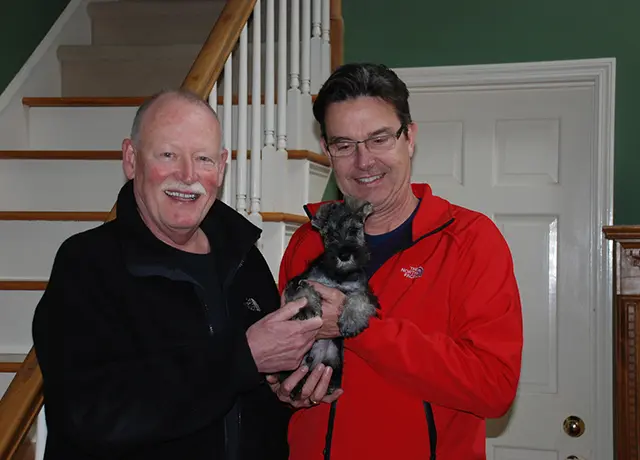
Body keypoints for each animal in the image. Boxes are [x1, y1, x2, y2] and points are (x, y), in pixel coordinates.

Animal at [278, 196, 378, 398]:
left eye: (354, 230)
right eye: (330, 235)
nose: (344, 255)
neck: (339, 275)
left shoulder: (364, 290)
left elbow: (359, 298)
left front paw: (352, 320)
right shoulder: (298, 280)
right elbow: (303, 290)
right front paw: (307, 308)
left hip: (333, 361)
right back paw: (296, 387)